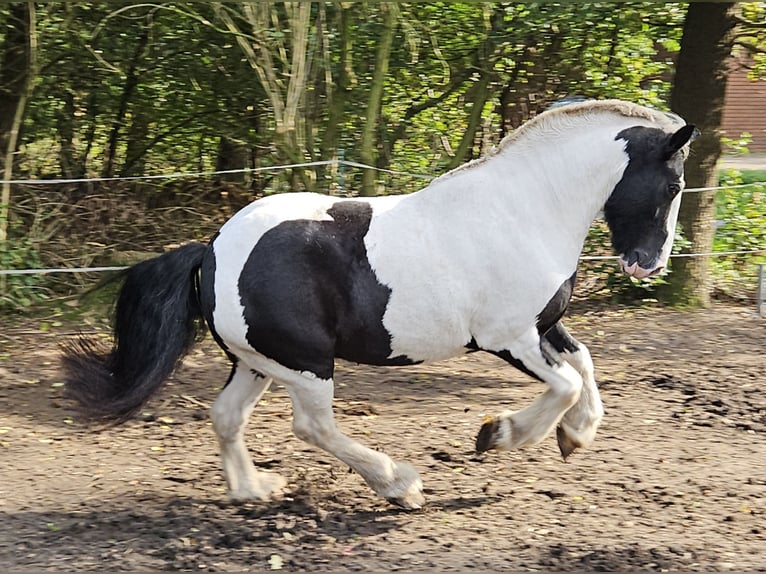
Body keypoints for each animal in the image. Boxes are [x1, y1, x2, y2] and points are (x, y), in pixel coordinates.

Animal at [63, 100, 700, 512]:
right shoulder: (508, 336)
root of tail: (213, 249)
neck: (525, 209)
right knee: (313, 425)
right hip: (306, 364)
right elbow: (565, 383)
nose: (649, 265)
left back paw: (255, 491)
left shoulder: (544, 325)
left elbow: (584, 363)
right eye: (672, 186)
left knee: (227, 416)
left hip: (257, 361)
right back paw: (399, 485)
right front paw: (498, 435)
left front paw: (576, 436)